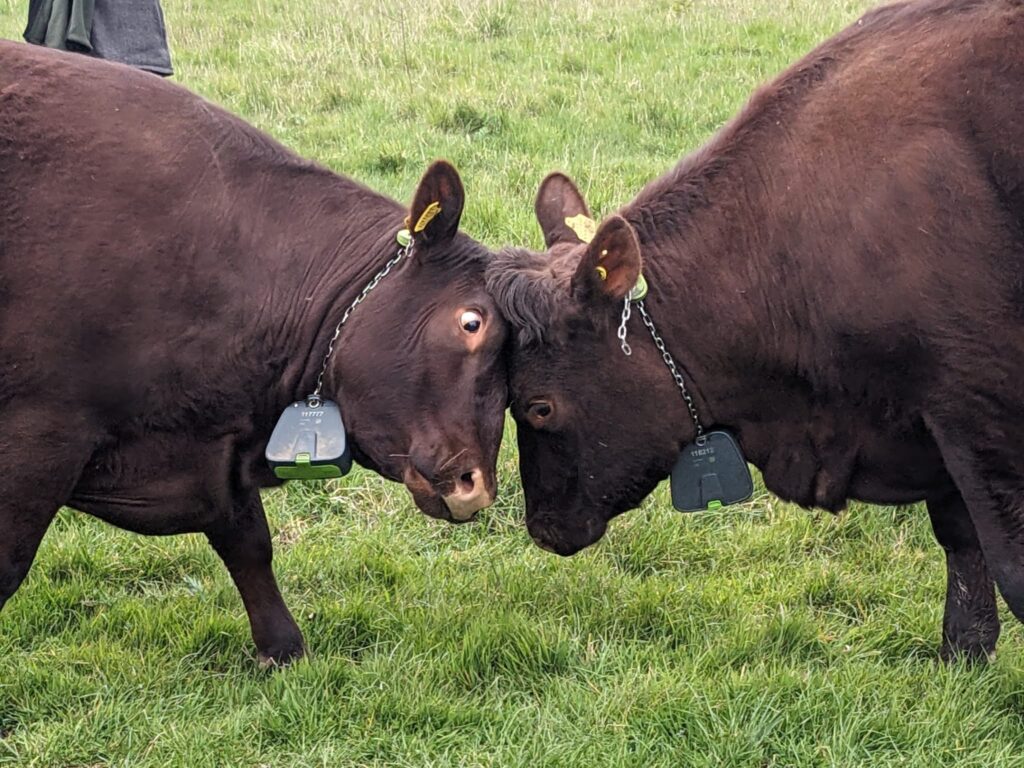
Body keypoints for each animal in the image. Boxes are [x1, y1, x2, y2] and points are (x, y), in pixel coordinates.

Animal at [0, 41, 508, 665]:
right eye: (471, 322)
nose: (475, 486)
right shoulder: (36, 437)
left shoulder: (216, 449)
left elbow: (249, 541)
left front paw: (282, 649)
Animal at [486, 0, 1024, 661]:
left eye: (538, 406)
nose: (542, 527)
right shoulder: (939, 417)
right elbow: (961, 543)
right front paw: (964, 655)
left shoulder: (978, 412)